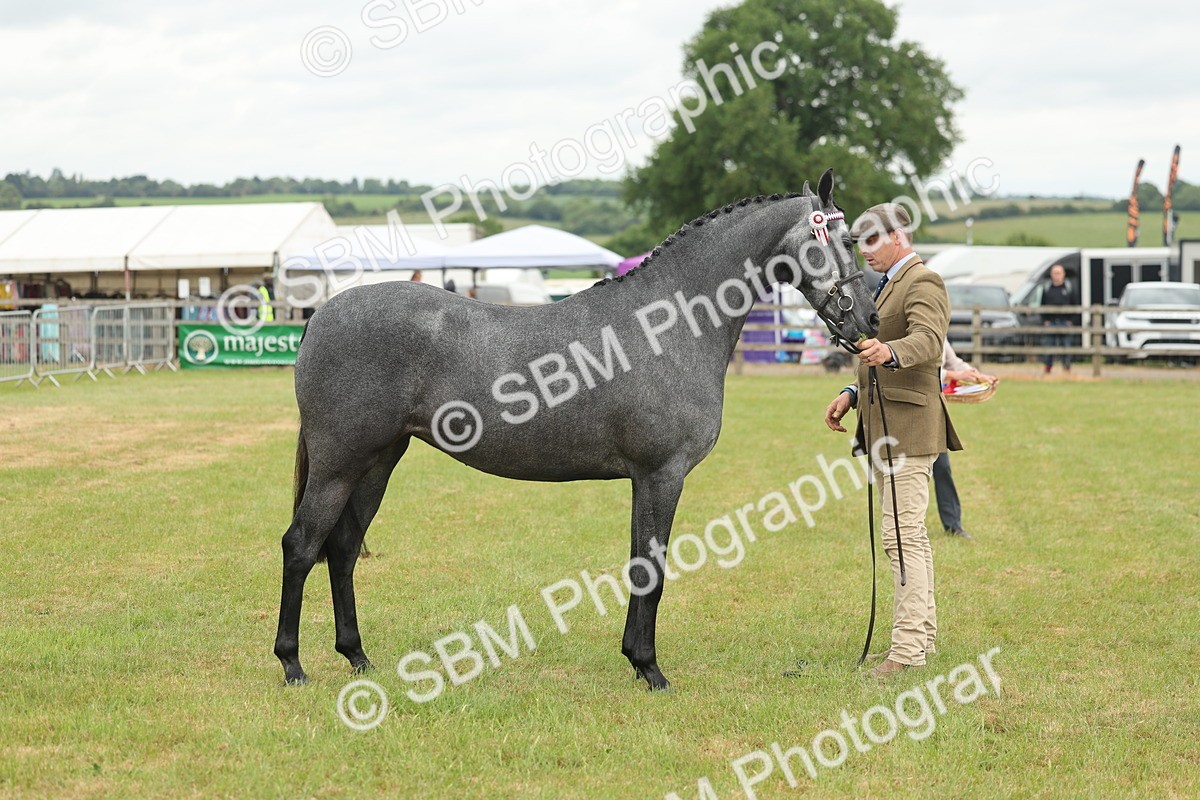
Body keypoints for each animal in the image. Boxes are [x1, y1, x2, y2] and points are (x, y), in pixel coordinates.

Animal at [274, 169, 879, 691]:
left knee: (342, 549)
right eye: (845, 238)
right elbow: (652, 568)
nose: (868, 320)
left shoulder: (646, 479)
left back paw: (357, 656)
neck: (666, 323)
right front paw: (651, 670)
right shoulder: (662, 474)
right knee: (302, 545)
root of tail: (320, 314)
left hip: (377, 461)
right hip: (338, 462)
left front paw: (636, 660)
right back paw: (292, 664)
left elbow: (640, 564)